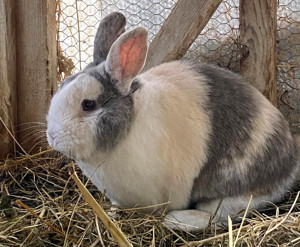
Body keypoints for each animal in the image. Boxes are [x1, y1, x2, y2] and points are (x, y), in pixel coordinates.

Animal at [45, 12, 298, 231]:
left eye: (88, 104)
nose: (52, 137)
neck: (130, 125)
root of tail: (290, 164)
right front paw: (113, 212)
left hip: (234, 189)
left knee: (219, 215)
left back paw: (178, 220)